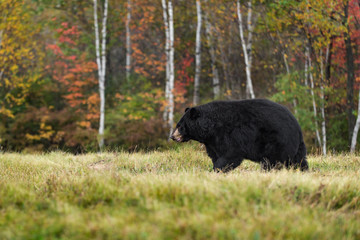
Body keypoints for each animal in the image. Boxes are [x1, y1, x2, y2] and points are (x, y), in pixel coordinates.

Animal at [172, 99, 310, 172]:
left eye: (180, 126)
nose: (172, 136)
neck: (211, 128)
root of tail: (297, 127)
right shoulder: (212, 142)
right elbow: (215, 154)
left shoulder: (229, 135)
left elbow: (230, 154)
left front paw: (217, 169)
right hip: (294, 146)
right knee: (299, 160)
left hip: (277, 141)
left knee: (273, 161)